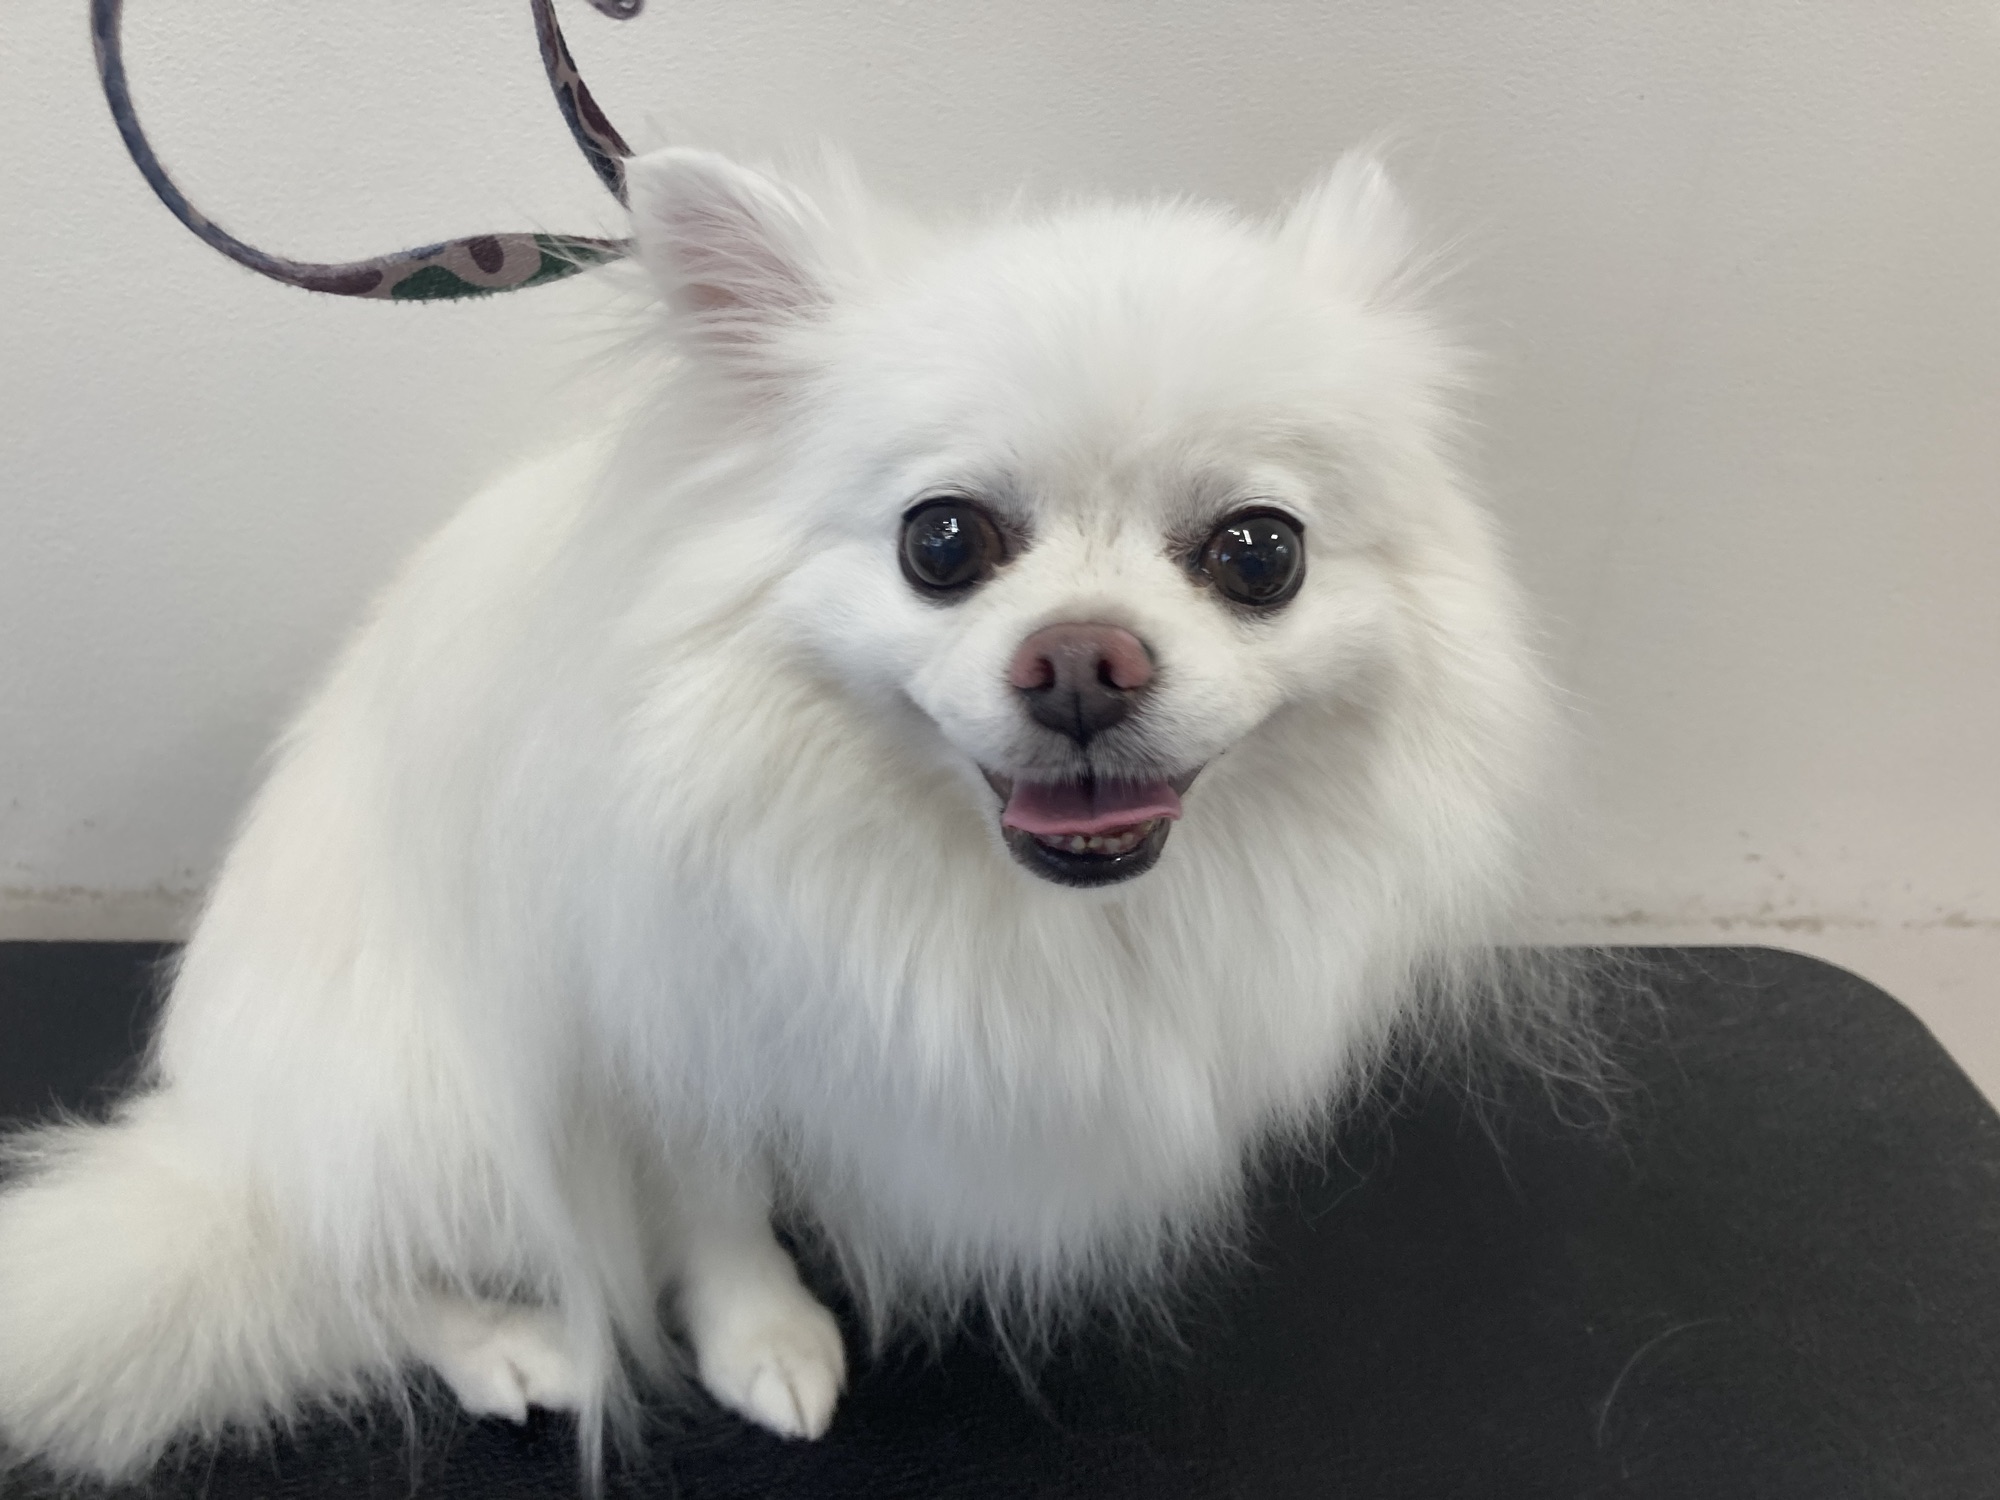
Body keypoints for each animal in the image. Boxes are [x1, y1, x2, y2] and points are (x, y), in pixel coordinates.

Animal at [0, 144, 1565, 1484]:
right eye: (943, 541)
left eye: (1259, 554)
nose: (1080, 659)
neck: (986, 890)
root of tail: (219, 1130)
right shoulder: (666, 1013)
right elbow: (712, 1196)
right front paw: (764, 1339)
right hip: (421, 1086)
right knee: (352, 1249)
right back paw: (511, 1345)